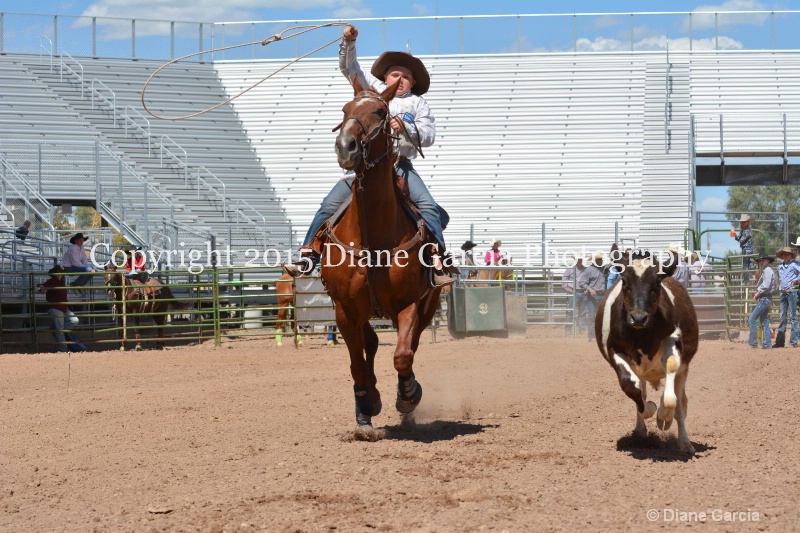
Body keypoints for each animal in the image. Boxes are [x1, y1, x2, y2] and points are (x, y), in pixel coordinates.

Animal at [318, 77, 444, 432]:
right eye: (345, 109)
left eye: (379, 112)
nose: (345, 146)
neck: (372, 237)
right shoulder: (345, 310)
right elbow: (357, 364)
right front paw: (365, 409)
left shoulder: (410, 303)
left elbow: (402, 355)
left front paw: (408, 395)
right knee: (370, 345)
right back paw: (370, 401)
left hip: (428, 307)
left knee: (409, 346)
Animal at [592, 251, 700, 450]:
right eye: (624, 280)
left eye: (657, 282)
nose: (638, 318)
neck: (642, 335)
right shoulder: (614, 350)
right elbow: (631, 388)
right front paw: (649, 408)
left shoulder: (673, 340)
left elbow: (671, 384)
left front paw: (663, 415)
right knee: (641, 389)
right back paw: (641, 429)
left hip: (684, 369)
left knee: (680, 402)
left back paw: (684, 442)